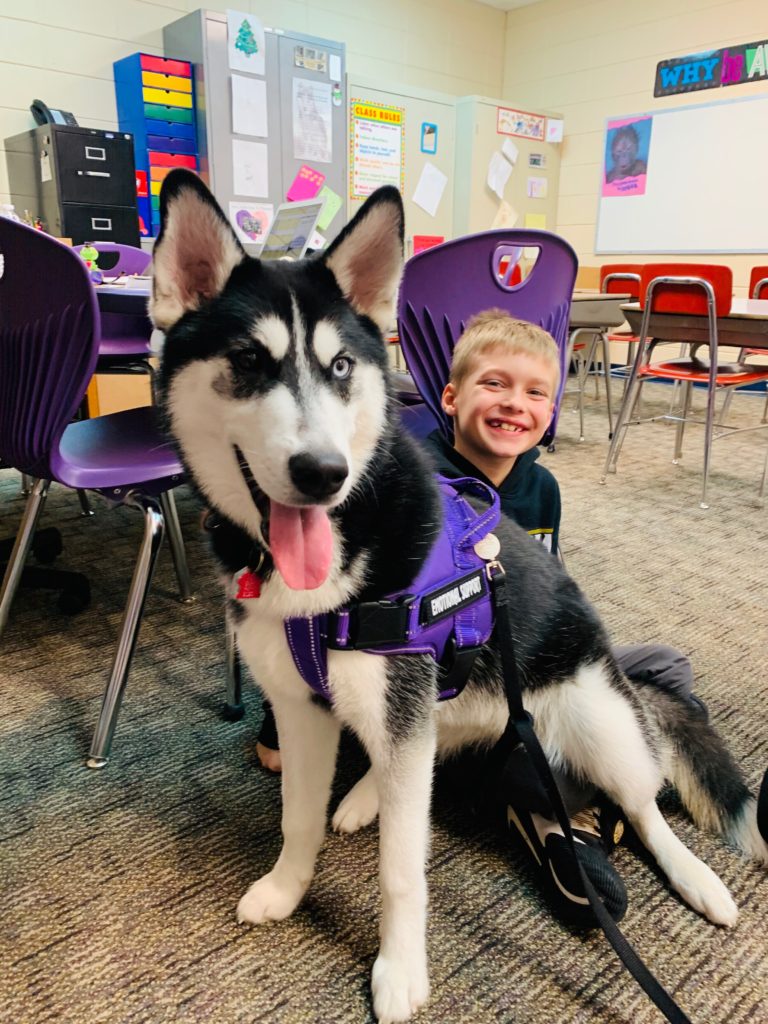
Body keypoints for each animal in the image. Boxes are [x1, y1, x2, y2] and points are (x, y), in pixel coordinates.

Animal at [151, 172, 768, 1019]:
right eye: (247, 359)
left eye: (340, 367)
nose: (323, 473)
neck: (341, 550)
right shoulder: (304, 710)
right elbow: (297, 819)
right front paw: (286, 887)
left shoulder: (395, 712)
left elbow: (401, 871)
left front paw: (401, 971)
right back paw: (366, 796)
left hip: (598, 720)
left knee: (643, 807)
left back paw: (697, 876)